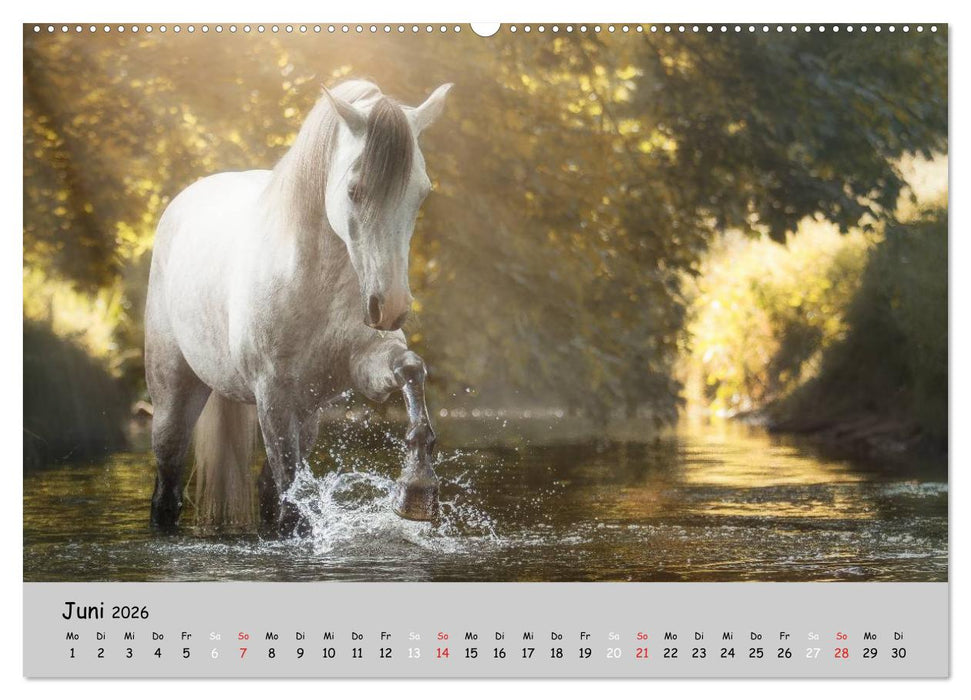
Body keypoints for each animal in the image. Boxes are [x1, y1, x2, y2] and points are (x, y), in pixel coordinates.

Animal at [144, 79, 452, 535]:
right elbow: (291, 491)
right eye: (353, 190)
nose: (391, 307)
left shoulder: (364, 364)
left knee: (267, 490)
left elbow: (411, 369)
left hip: (308, 415)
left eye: (421, 193)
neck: (312, 281)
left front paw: (417, 489)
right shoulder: (273, 395)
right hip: (174, 398)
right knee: (168, 487)